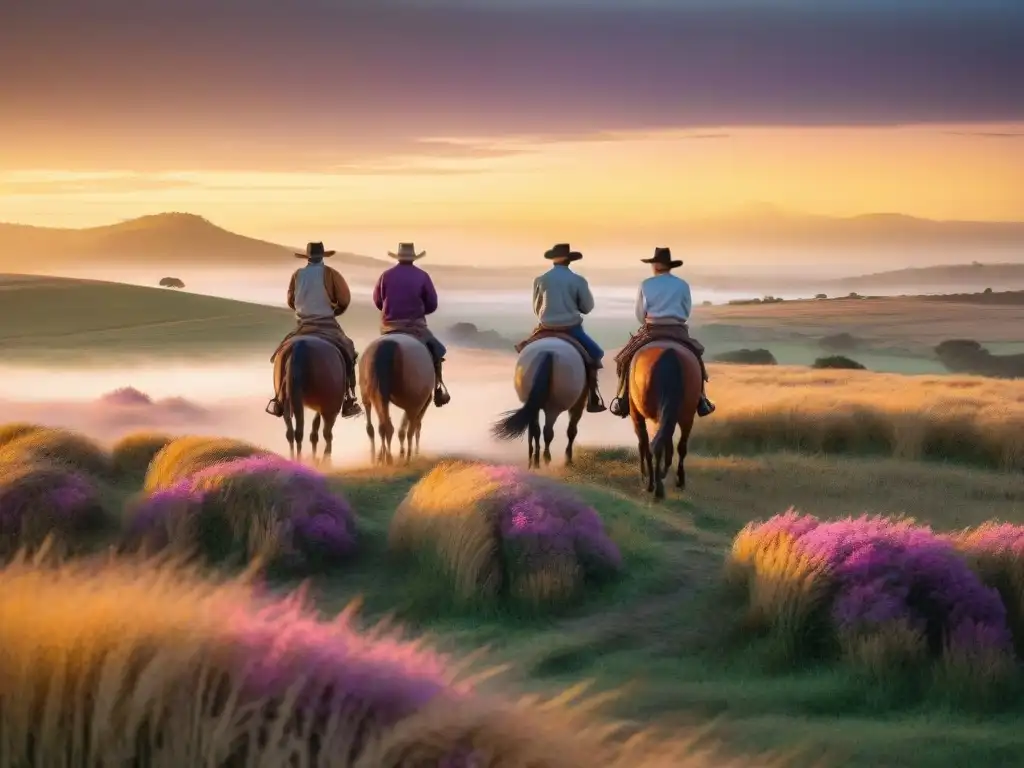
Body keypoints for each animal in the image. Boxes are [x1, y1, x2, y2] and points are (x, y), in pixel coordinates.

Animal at [358, 333, 434, 466]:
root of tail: (386, 345)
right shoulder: (416, 406)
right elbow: (411, 429)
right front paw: (408, 455)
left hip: (373, 397)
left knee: (380, 427)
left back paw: (382, 458)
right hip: (413, 404)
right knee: (408, 429)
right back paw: (404, 457)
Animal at [491, 339, 589, 473]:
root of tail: (547, 352)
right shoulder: (579, 403)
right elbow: (571, 431)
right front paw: (568, 460)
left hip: (533, 405)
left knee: (536, 430)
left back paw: (535, 462)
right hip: (553, 408)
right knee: (548, 432)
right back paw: (546, 459)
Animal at [622, 342, 704, 499]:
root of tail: (669, 355)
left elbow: (650, 444)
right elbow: (674, 448)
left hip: (648, 416)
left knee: (651, 444)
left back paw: (652, 484)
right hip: (682, 417)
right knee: (669, 445)